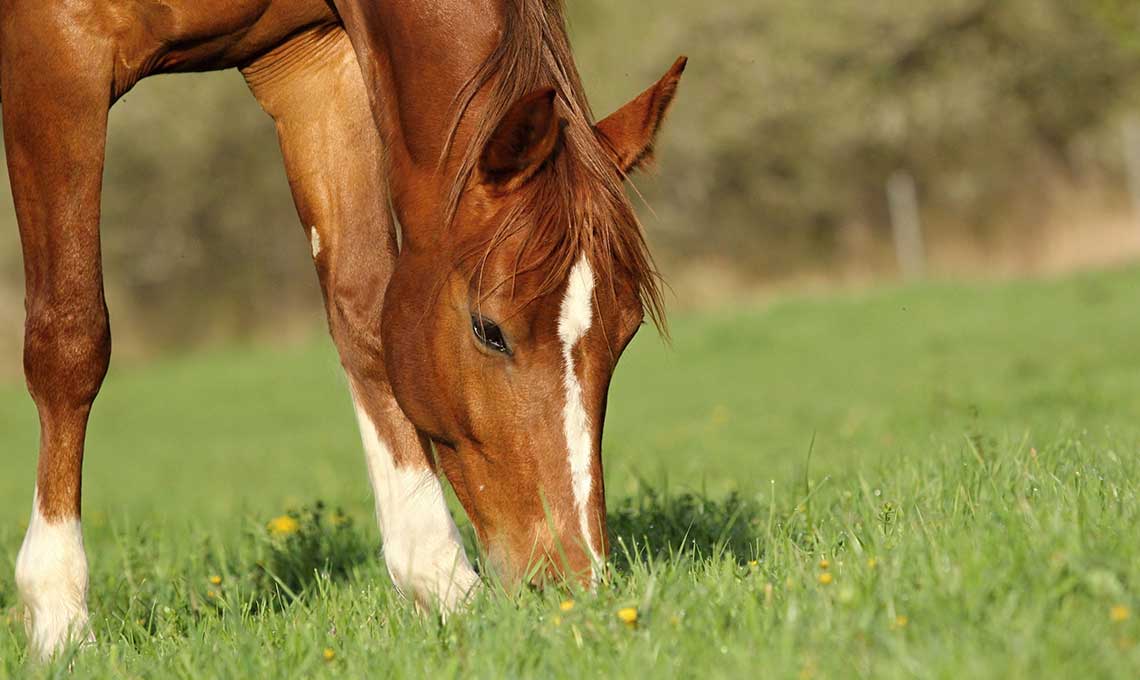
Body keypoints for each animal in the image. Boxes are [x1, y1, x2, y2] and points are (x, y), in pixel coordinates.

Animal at [4, 0, 679, 657]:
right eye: (490, 330)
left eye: (625, 333)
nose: (572, 583)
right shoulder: (58, 49)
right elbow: (71, 337)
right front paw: (61, 622)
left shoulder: (313, 61)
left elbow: (362, 313)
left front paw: (440, 583)